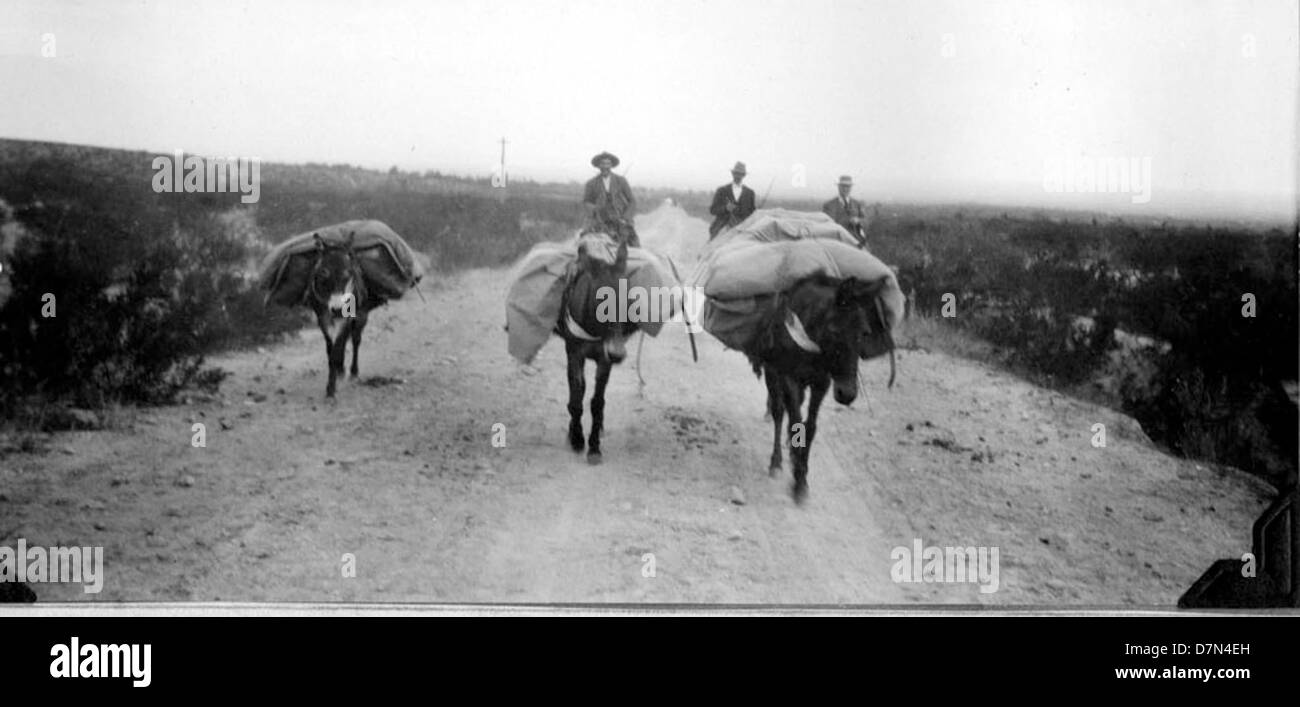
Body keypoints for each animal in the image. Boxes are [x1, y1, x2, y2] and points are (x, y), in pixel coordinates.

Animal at [308, 231, 379, 397]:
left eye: (348, 273)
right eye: (323, 273)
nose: (337, 309)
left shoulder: (347, 317)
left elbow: (337, 349)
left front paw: (331, 390)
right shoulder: (322, 319)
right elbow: (330, 351)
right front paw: (332, 383)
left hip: (361, 316)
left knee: (355, 340)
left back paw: (353, 372)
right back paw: (341, 369)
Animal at [553, 231, 639, 462]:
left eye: (630, 298)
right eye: (600, 299)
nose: (617, 354)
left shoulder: (604, 359)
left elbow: (597, 402)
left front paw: (594, 447)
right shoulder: (575, 353)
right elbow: (578, 394)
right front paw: (577, 438)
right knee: (574, 389)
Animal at [743, 272, 894, 504]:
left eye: (865, 332)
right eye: (834, 331)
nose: (847, 394)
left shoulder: (821, 384)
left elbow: (810, 427)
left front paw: (802, 478)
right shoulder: (789, 378)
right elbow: (794, 421)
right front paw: (797, 478)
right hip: (773, 372)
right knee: (778, 412)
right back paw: (777, 461)